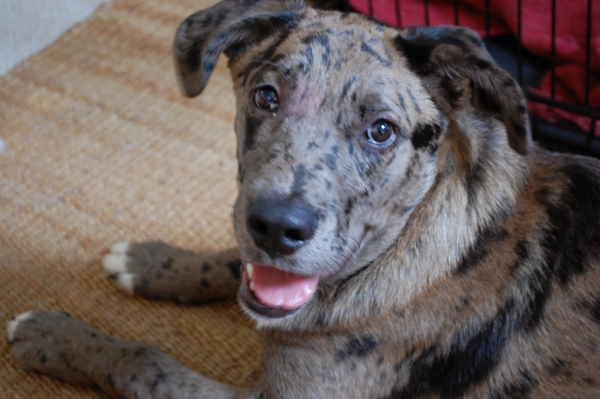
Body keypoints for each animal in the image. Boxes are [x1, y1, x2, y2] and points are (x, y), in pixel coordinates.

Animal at [7, 0, 600, 398]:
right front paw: (153, 261)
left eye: (381, 131)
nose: (276, 227)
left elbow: (147, 363)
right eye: (265, 97)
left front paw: (53, 335)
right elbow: (232, 260)